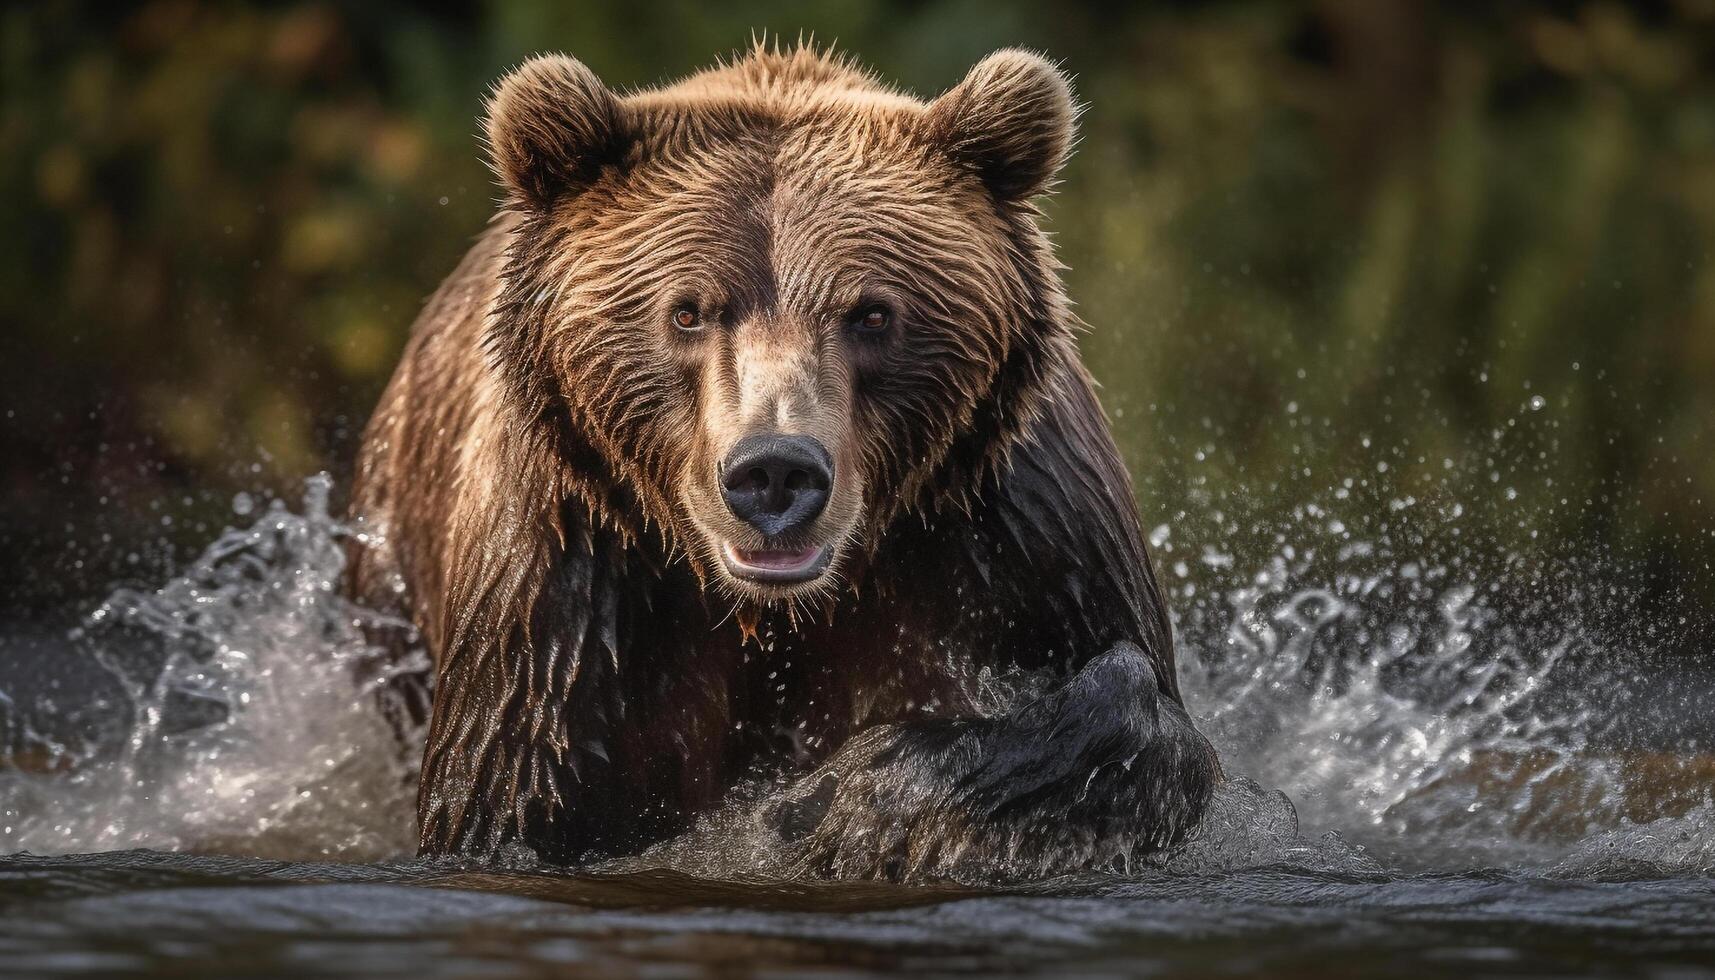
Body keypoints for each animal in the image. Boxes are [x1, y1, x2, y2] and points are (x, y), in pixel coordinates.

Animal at [351, 42, 1221, 878]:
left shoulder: (1017, 534)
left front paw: (848, 806)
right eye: (688, 311)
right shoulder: (571, 575)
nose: (773, 473)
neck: (774, 612)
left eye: (871, 313)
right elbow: (508, 794)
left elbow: (1128, 688)